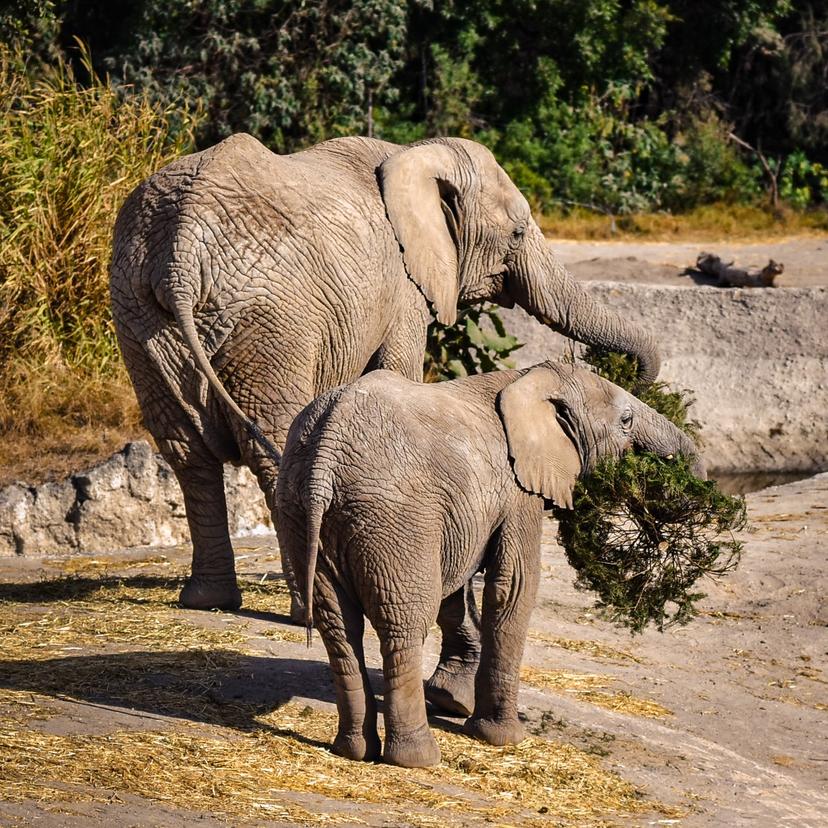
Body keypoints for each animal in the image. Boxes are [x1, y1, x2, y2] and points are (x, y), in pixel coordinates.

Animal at [108, 131, 660, 620]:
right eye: (518, 234)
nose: (632, 379)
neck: (413, 155)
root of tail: (179, 251)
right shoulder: (405, 284)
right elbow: (397, 368)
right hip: (269, 323)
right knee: (268, 442)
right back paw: (299, 608)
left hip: (139, 316)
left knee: (184, 451)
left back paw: (207, 601)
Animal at [274, 364, 700, 768]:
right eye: (626, 420)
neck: (529, 376)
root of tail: (325, 453)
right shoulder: (519, 490)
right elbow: (514, 586)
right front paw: (502, 738)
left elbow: (456, 590)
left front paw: (454, 703)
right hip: (393, 518)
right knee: (403, 625)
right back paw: (418, 759)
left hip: (301, 514)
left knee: (339, 627)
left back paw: (353, 750)